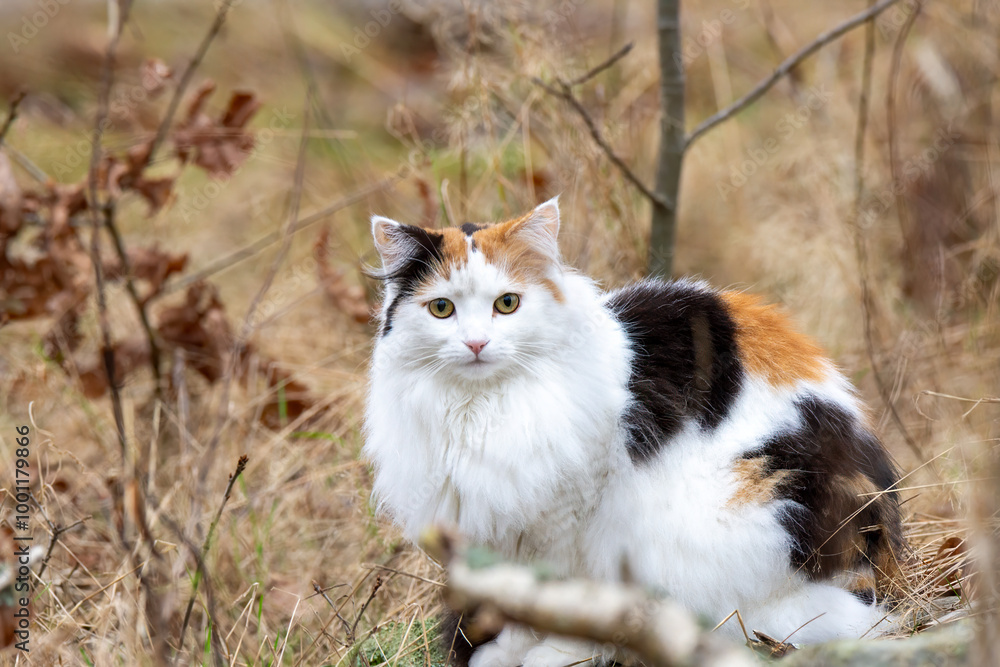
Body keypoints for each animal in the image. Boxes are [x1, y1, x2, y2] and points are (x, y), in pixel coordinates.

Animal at [363, 198, 906, 667]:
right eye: (441, 309)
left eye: (507, 304)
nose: (476, 344)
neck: (480, 410)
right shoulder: (502, 527)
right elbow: (516, 597)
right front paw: (504, 652)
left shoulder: (572, 521)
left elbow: (566, 594)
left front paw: (553, 648)